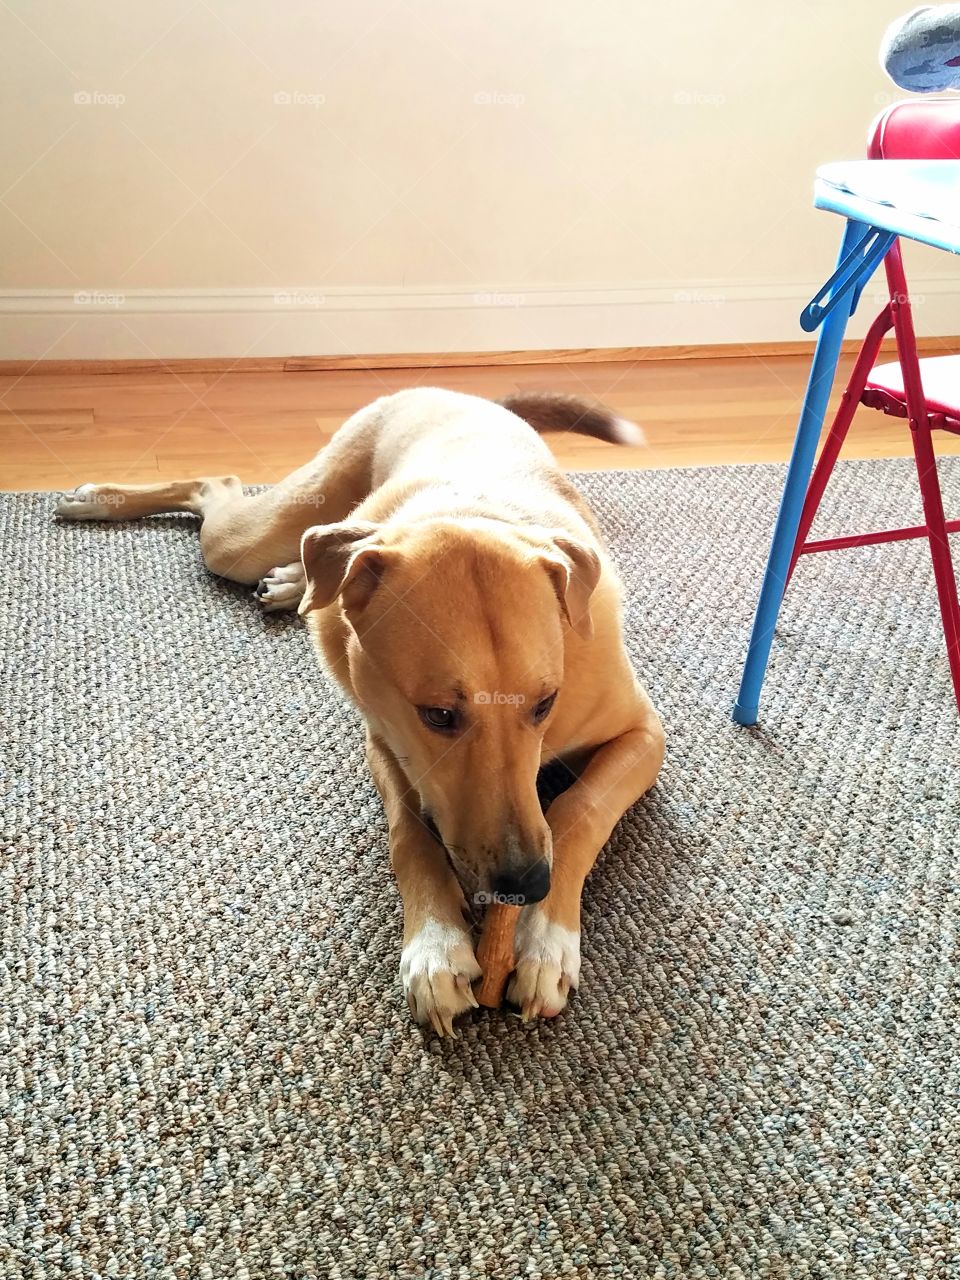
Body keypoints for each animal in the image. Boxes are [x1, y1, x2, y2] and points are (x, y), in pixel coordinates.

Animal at [56, 386, 665, 1029]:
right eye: (438, 716)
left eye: (546, 703)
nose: (525, 885)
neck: (472, 512)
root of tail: (456, 392)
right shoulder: (385, 740)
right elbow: (409, 834)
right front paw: (434, 943)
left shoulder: (644, 734)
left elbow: (579, 807)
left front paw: (545, 939)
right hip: (257, 534)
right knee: (220, 486)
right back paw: (103, 501)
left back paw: (290, 581)